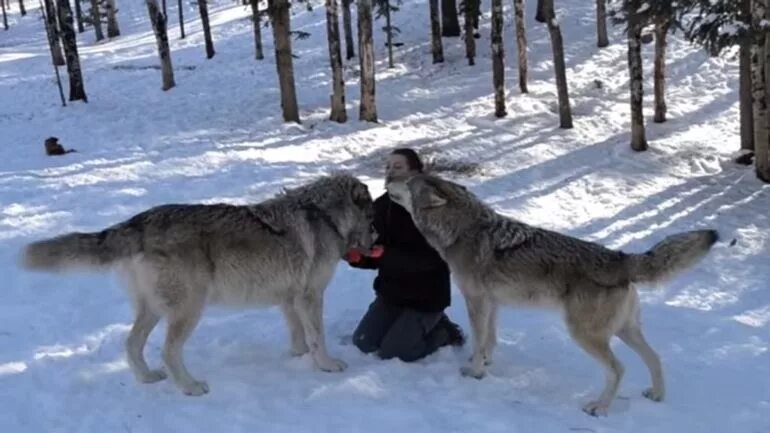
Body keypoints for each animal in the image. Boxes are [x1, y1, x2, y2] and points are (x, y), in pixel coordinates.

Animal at [21, 172, 376, 394]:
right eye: (374, 220)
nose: (378, 242)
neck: (326, 216)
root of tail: (138, 222)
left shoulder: (290, 299)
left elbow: (299, 335)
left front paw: (298, 358)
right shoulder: (310, 296)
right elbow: (318, 337)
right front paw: (327, 366)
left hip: (153, 310)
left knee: (132, 344)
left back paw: (147, 378)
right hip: (189, 310)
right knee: (168, 351)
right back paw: (190, 387)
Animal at [388, 173, 716, 416]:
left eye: (407, 181)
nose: (387, 178)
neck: (460, 230)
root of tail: (622, 257)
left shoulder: (476, 301)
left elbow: (480, 341)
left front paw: (474, 371)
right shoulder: (492, 303)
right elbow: (489, 340)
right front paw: (485, 363)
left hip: (585, 335)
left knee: (618, 368)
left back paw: (599, 407)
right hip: (625, 331)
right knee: (655, 358)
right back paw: (657, 395)